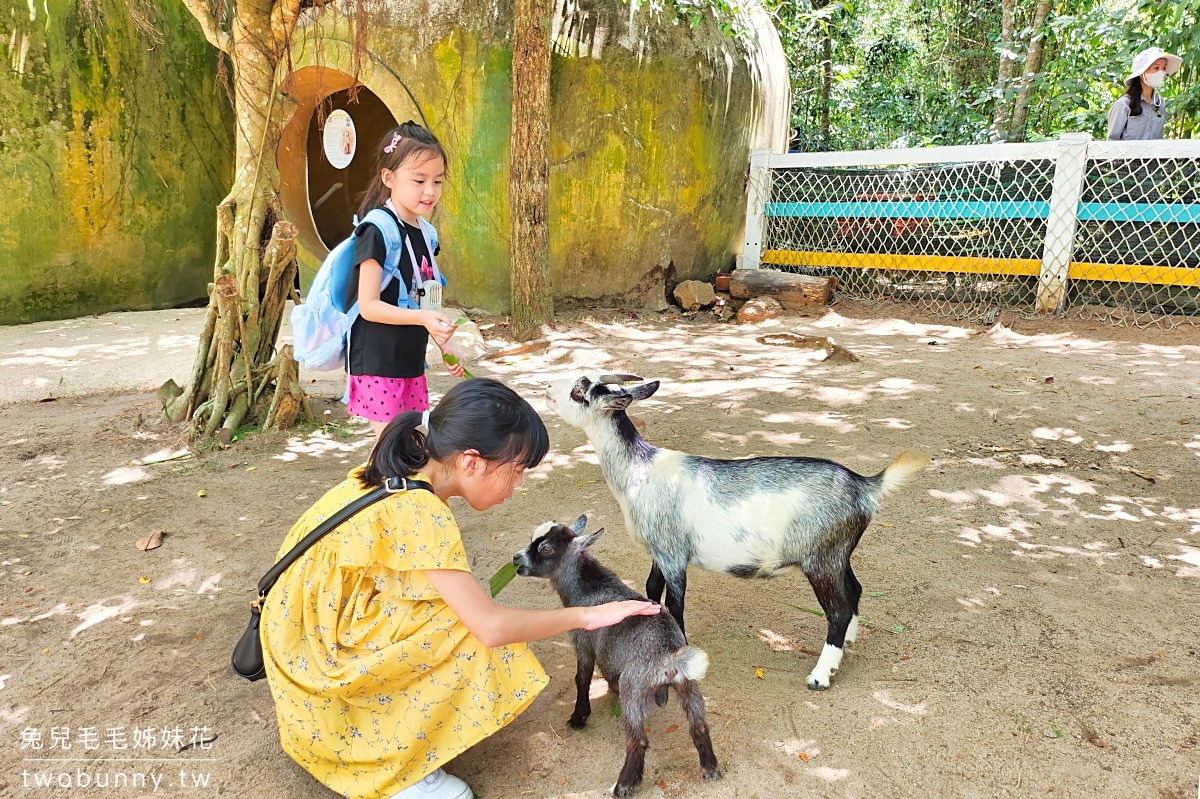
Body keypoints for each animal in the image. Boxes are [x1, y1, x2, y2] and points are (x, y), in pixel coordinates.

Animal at [511, 513, 715, 791]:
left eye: (545, 549)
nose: (516, 558)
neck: (587, 586)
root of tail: (667, 656)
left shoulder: (583, 641)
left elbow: (582, 677)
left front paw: (579, 716)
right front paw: (608, 687)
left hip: (634, 688)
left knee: (638, 739)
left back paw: (624, 785)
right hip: (689, 684)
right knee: (699, 726)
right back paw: (710, 769)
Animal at [544, 369, 926, 686]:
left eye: (579, 390)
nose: (547, 388)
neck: (639, 471)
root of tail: (864, 486)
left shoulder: (673, 555)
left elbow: (675, 603)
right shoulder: (660, 551)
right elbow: (652, 591)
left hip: (821, 559)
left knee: (838, 609)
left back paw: (821, 675)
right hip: (838, 553)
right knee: (855, 591)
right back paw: (846, 643)